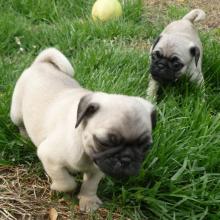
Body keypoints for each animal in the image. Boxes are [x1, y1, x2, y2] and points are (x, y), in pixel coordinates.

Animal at [9, 47, 155, 211]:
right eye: (104, 142)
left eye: (146, 147)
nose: (126, 159)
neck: (85, 150)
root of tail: (41, 63)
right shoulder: (49, 157)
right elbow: (66, 182)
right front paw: (61, 188)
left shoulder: (98, 168)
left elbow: (90, 185)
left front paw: (88, 200)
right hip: (16, 113)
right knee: (20, 124)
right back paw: (25, 136)